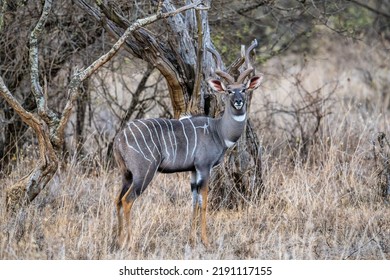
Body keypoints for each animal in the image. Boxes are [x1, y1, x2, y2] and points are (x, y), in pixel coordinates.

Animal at [114, 40, 264, 247]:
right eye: (228, 90)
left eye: (243, 89)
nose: (239, 102)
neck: (218, 131)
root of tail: (119, 138)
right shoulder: (204, 167)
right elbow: (204, 201)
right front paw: (206, 241)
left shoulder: (193, 171)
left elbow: (194, 202)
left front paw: (192, 239)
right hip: (144, 172)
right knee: (128, 200)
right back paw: (129, 243)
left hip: (126, 174)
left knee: (118, 200)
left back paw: (119, 241)